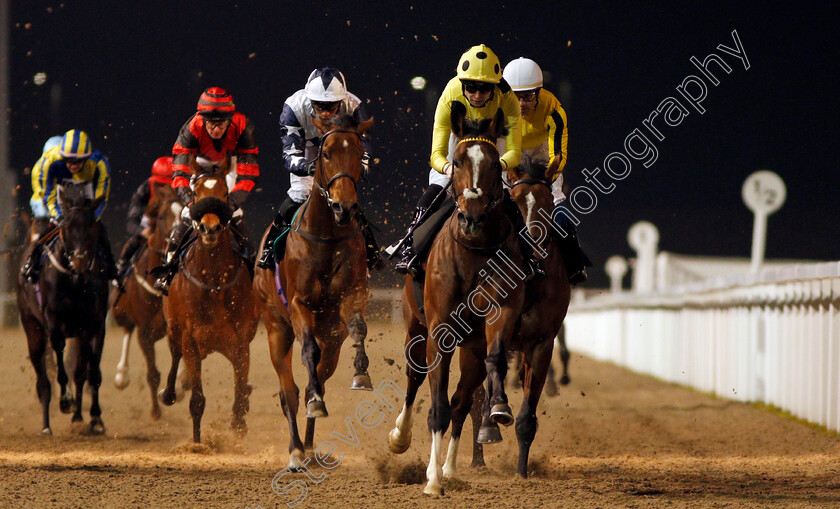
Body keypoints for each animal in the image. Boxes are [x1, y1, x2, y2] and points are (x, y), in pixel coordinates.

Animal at [16, 185, 110, 434]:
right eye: (66, 227)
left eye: (92, 226)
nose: (79, 261)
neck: (74, 281)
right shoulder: (54, 324)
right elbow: (59, 362)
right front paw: (66, 401)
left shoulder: (93, 325)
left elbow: (90, 372)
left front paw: (95, 417)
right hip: (32, 327)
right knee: (42, 379)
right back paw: (46, 424)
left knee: (79, 371)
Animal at [111, 185, 189, 418]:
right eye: (162, 215)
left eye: (183, 211)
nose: (176, 235)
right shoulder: (144, 332)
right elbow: (153, 373)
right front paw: (156, 411)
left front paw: (180, 384)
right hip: (123, 314)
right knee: (127, 331)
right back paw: (122, 375)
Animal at [159, 157, 258, 442]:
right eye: (196, 194)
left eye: (224, 194)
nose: (209, 227)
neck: (213, 280)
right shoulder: (191, 339)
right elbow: (197, 400)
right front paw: (197, 443)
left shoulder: (241, 341)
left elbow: (239, 394)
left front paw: (239, 426)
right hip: (173, 327)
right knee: (175, 355)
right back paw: (169, 392)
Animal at [253, 114, 374, 468]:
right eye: (326, 153)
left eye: (358, 153)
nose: (345, 206)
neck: (327, 236)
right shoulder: (297, 304)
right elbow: (307, 353)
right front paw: (315, 404)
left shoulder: (351, 296)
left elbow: (359, 328)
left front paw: (361, 374)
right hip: (275, 328)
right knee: (289, 391)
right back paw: (296, 450)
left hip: (332, 339)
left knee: (317, 376)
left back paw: (308, 444)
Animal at [388, 107, 524, 492]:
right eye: (459, 160)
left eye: (494, 163)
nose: (473, 216)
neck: (474, 251)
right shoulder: (440, 331)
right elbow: (436, 405)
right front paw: (432, 482)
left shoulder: (499, 314)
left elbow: (493, 361)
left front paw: (499, 409)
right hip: (416, 328)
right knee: (414, 379)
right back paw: (402, 438)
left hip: (471, 348)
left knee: (462, 400)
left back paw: (448, 466)